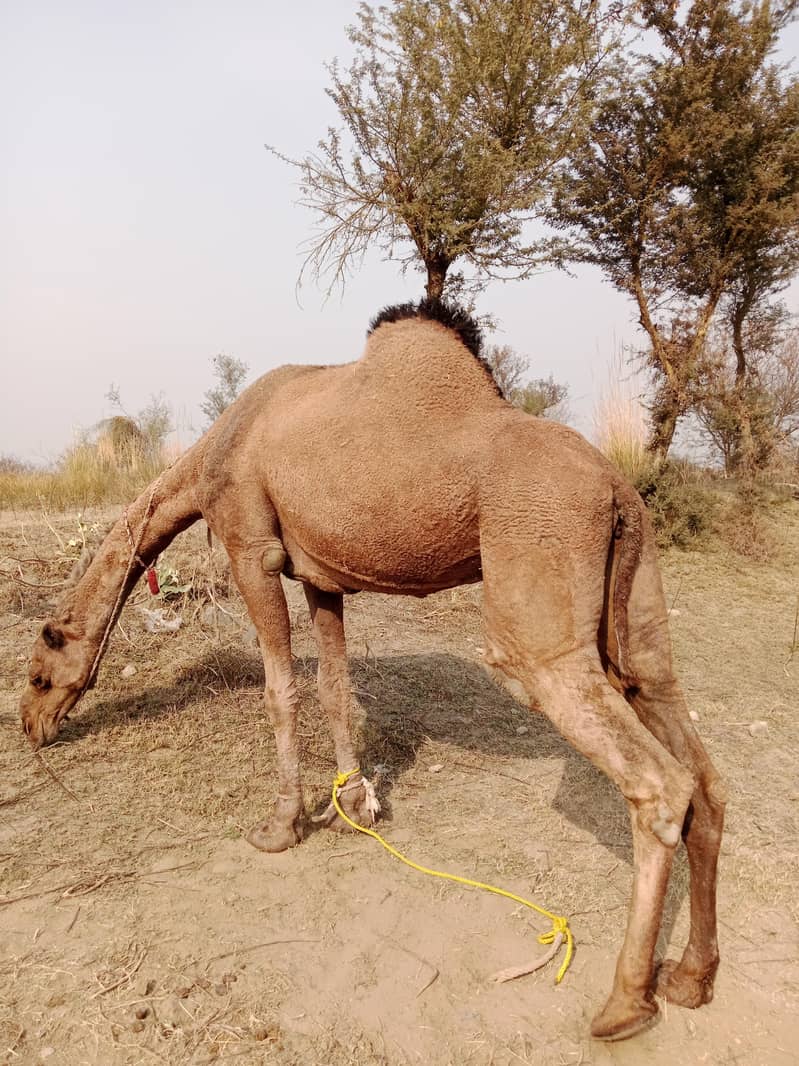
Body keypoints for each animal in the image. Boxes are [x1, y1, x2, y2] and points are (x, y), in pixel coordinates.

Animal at [19, 298, 725, 1041]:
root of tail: (618, 486)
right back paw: (689, 977)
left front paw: (280, 827)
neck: (213, 449)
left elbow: (280, 689)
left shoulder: (251, 545)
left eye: (38, 671)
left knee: (658, 784)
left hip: (540, 597)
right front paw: (354, 804)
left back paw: (625, 1002)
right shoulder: (319, 573)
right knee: (698, 769)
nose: (32, 725)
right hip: (637, 612)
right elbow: (333, 685)